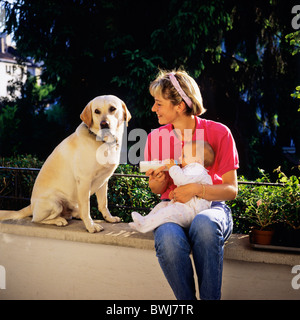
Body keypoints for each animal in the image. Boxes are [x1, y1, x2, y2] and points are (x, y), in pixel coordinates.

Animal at [0, 95, 131, 232]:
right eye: (96, 111)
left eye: (113, 109)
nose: (104, 124)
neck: (103, 142)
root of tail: (31, 205)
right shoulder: (84, 181)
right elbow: (87, 207)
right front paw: (90, 226)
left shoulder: (104, 181)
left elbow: (103, 203)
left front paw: (109, 218)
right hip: (55, 203)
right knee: (37, 219)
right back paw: (59, 220)